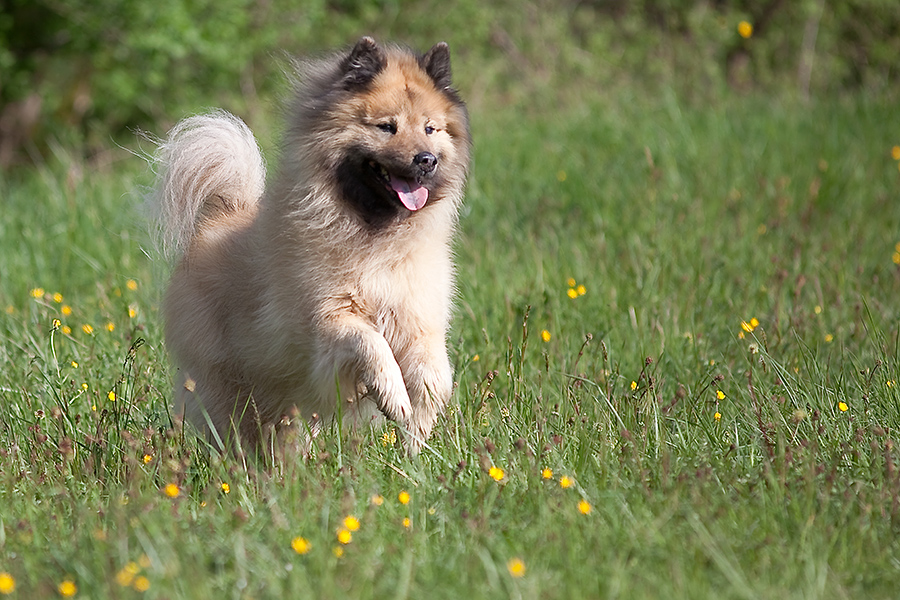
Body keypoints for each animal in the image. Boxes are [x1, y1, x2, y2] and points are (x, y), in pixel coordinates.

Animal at [153, 37, 472, 452]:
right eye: (387, 127)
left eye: (430, 128)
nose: (426, 160)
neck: (376, 237)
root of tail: (215, 220)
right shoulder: (330, 320)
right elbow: (371, 344)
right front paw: (393, 397)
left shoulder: (416, 320)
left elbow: (436, 377)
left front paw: (415, 440)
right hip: (233, 385)